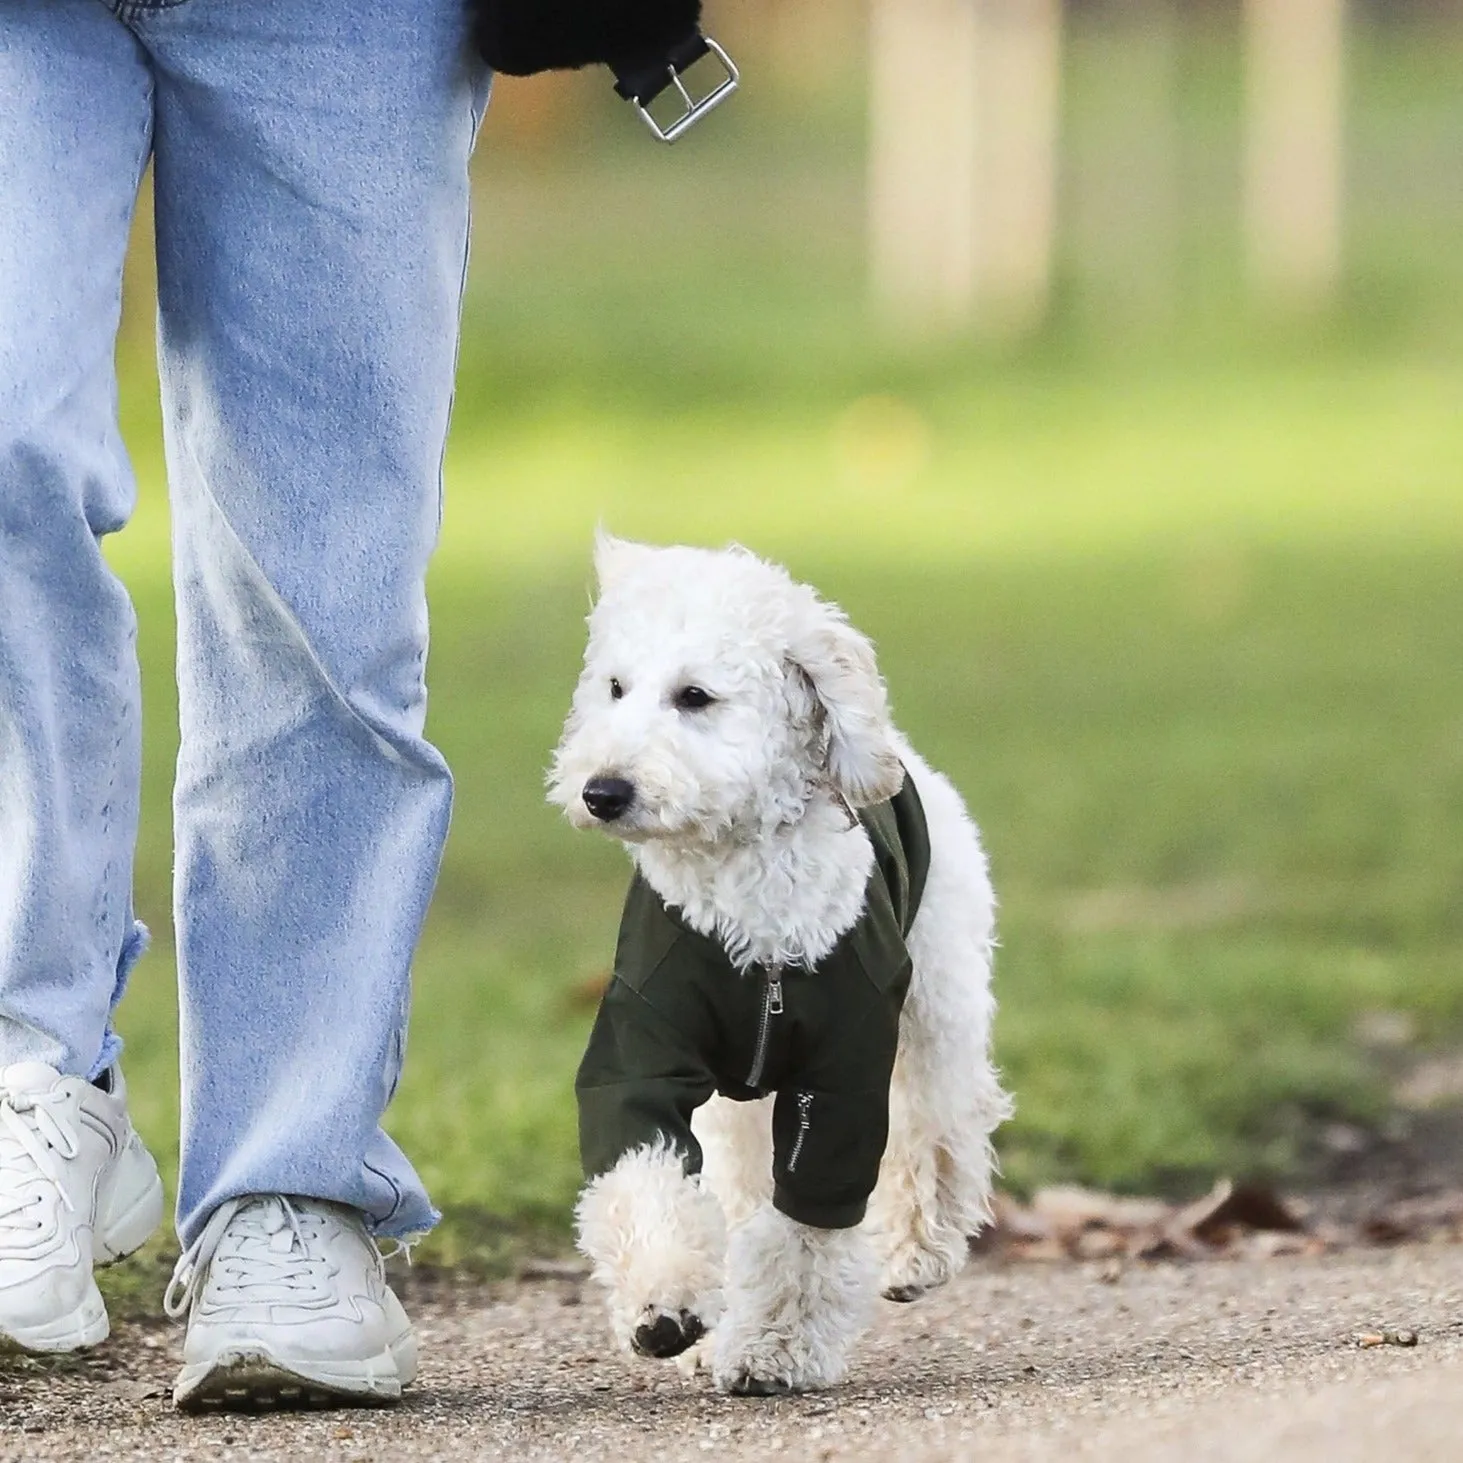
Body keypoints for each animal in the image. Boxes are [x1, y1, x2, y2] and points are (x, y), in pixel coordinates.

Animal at [544, 535, 1012, 1392]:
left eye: (694, 695)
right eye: (614, 687)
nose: (602, 790)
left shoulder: (841, 1073)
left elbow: (807, 1223)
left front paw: (772, 1348)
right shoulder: (643, 1045)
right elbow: (643, 1169)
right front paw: (664, 1304)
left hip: (938, 1001)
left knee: (935, 1124)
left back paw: (915, 1252)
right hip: (735, 1106)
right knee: (734, 1185)